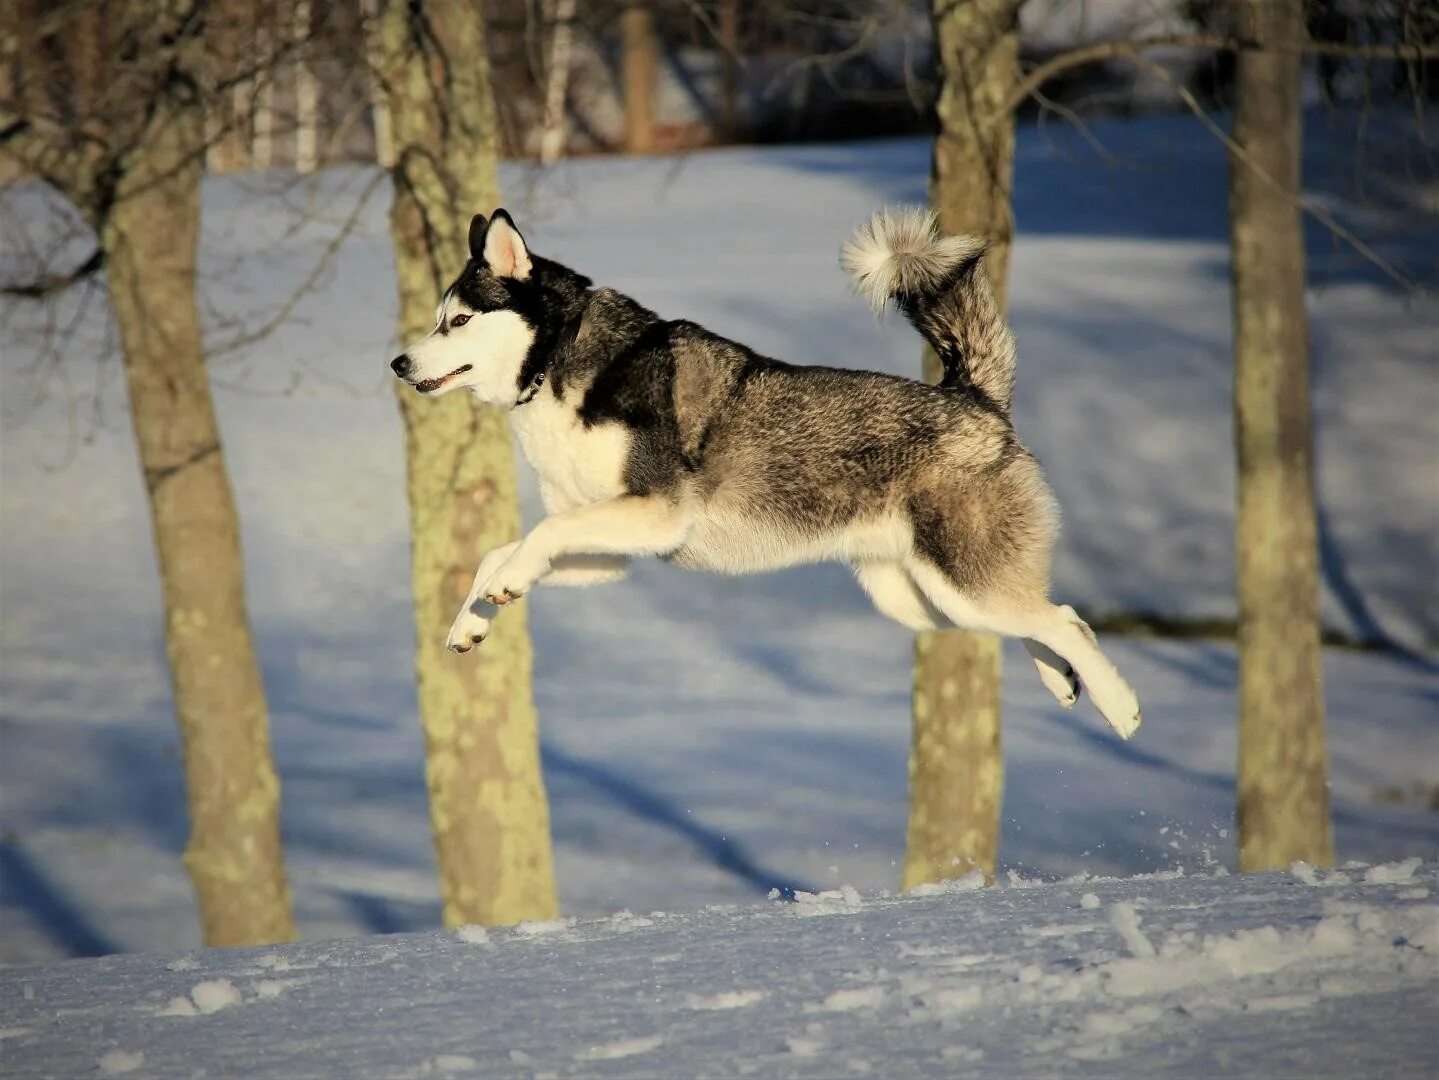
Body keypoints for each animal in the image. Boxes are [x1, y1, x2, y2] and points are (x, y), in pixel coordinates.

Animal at [388, 207, 1139, 742]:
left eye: (457, 320)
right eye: (437, 320)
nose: (398, 363)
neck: (560, 363)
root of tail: (974, 398)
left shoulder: (655, 511)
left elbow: (536, 537)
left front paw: (500, 591)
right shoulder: (609, 551)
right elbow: (500, 554)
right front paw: (474, 619)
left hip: (961, 582)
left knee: (1064, 619)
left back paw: (1120, 704)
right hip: (924, 600)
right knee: (1046, 621)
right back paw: (1062, 682)